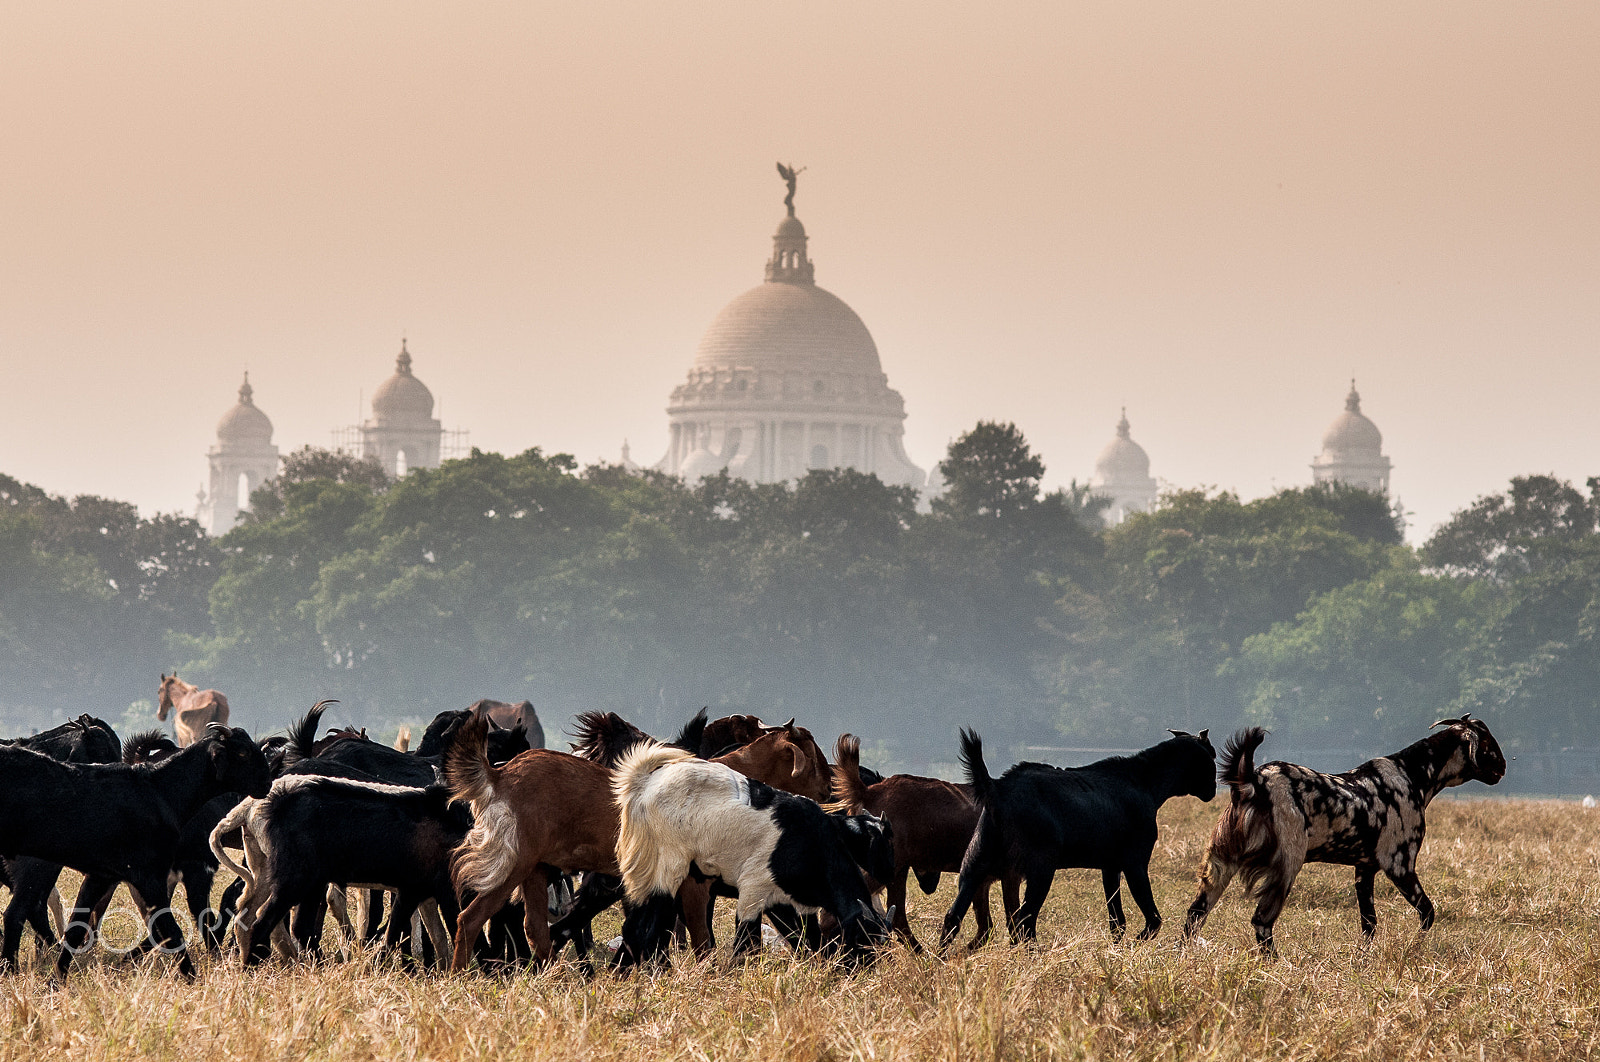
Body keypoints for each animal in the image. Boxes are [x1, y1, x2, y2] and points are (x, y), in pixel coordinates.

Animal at [0, 726, 268, 972]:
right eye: (243, 752)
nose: (267, 783)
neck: (159, 790)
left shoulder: (101, 876)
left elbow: (76, 927)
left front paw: (58, 978)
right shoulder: (151, 875)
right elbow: (172, 929)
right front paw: (193, 977)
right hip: (36, 868)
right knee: (17, 913)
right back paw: (10, 968)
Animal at [934, 729, 1209, 946]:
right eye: (1212, 755)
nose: (1212, 789)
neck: (1145, 782)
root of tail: (997, 788)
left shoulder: (1110, 867)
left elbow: (1117, 918)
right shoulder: (1135, 863)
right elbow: (1153, 918)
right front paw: (1135, 943)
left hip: (975, 866)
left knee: (954, 917)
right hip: (1040, 869)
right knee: (1025, 921)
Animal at [1184, 713, 1504, 953]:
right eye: (1487, 740)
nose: (1502, 766)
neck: (1412, 776)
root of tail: (1251, 782)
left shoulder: (1364, 870)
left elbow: (1369, 924)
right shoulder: (1399, 864)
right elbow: (1427, 913)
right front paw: (1414, 948)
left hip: (1220, 862)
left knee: (1194, 914)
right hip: (1286, 867)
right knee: (1262, 921)